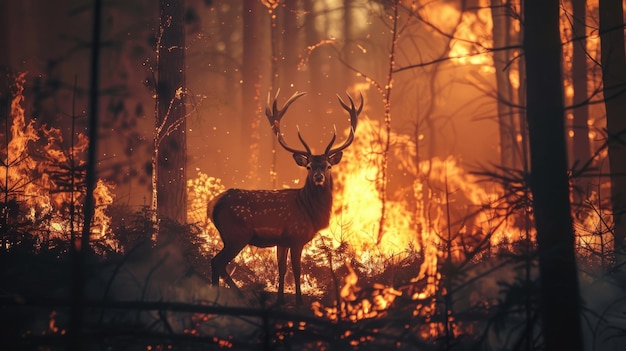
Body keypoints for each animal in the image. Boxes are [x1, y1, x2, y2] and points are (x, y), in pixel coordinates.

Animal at [207, 90, 360, 306]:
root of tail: (212, 204)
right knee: (217, 262)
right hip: (236, 234)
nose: (318, 177)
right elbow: (296, 270)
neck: (309, 211)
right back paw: (229, 296)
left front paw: (280, 300)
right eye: (309, 166)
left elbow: (282, 269)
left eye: (328, 166)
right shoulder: (297, 237)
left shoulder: (283, 240)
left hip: (230, 236)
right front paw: (299, 301)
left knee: (217, 263)